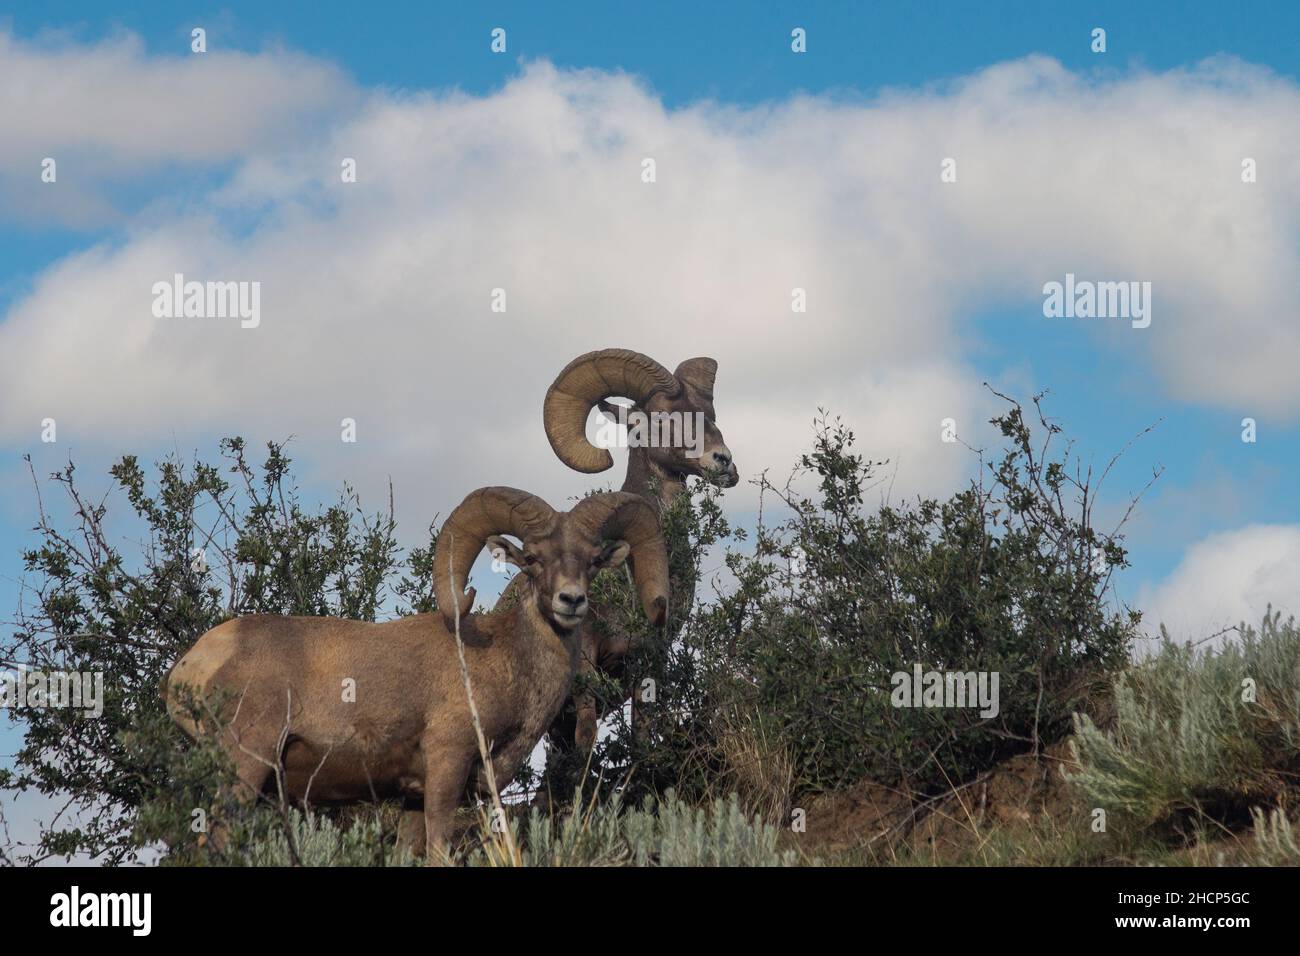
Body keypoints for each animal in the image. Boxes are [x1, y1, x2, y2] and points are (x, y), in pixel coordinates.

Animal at [164, 486, 668, 860]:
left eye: (592, 560)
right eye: (533, 559)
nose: (571, 600)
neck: (504, 661)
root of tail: (191, 668)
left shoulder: (411, 794)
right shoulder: (448, 766)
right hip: (244, 768)